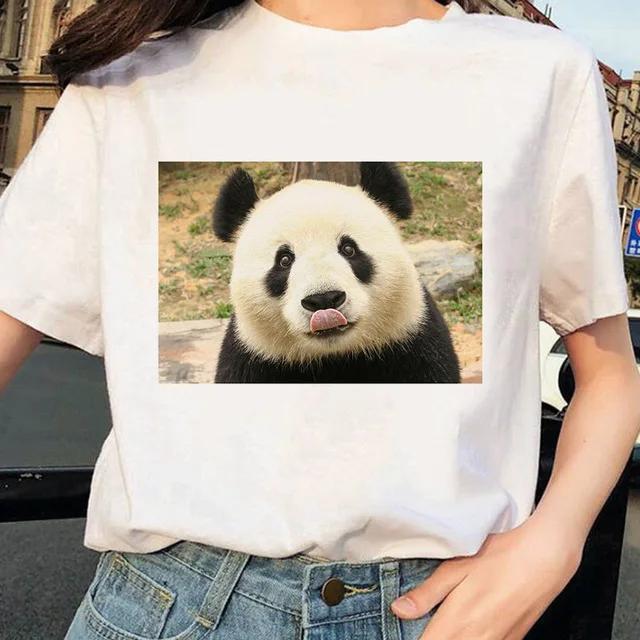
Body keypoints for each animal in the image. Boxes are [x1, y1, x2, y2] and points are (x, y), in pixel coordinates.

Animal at [211, 162, 460, 383]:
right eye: (284, 260)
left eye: (349, 249)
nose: (324, 299)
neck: (334, 357)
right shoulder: (255, 357)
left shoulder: (410, 340)